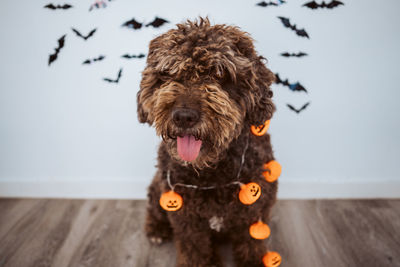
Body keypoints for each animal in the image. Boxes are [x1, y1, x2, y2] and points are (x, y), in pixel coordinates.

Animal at [136, 17, 280, 267]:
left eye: (220, 74)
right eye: (168, 74)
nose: (184, 116)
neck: (211, 173)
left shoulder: (255, 212)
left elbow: (251, 244)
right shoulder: (187, 220)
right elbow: (195, 250)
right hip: (159, 187)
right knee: (154, 207)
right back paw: (156, 229)